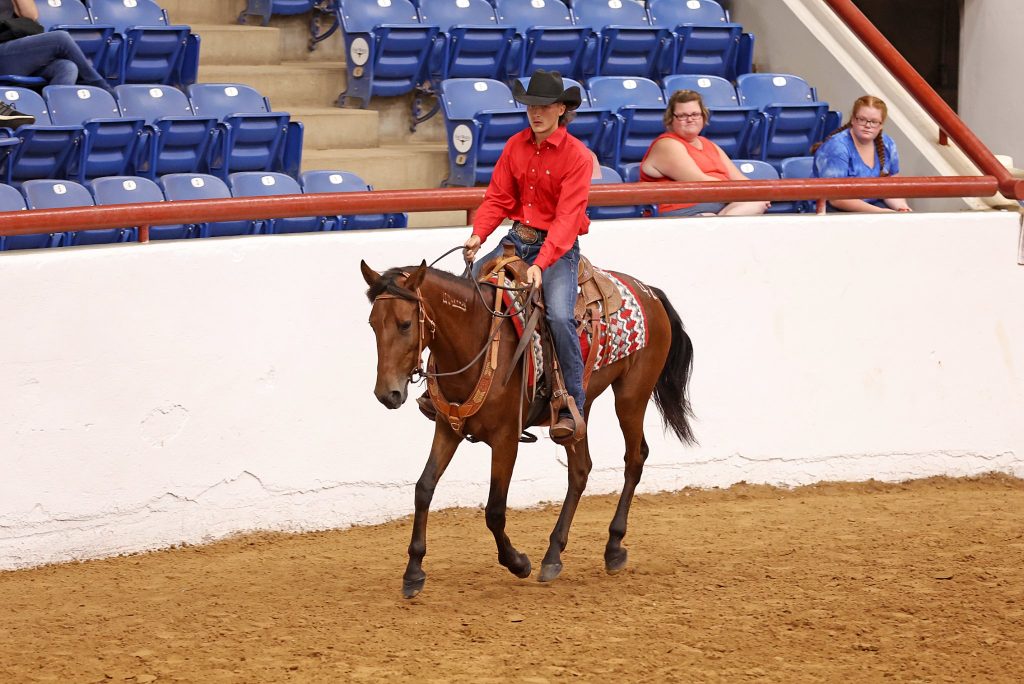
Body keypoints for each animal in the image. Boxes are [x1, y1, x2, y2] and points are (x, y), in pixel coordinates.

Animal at [362, 259, 696, 593]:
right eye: (372, 324)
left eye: (405, 324)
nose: (386, 394)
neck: (477, 340)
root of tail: (650, 293)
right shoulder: (447, 428)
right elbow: (423, 488)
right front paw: (413, 571)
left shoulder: (506, 438)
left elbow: (495, 510)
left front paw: (518, 562)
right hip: (580, 408)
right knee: (580, 470)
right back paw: (553, 555)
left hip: (631, 395)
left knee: (635, 458)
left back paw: (613, 548)